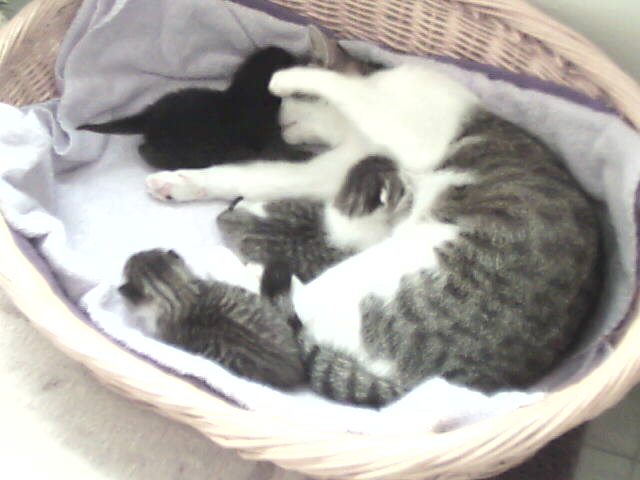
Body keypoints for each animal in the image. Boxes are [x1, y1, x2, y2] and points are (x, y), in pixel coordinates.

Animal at [139, 63, 602, 408]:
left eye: (290, 107)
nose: (281, 125)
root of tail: (453, 380)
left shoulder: (404, 127)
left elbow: (346, 89)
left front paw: (287, 77)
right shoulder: (335, 169)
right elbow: (255, 175)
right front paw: (182, 183)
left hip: (391, 275)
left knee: (297, 301)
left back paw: (221, 266)